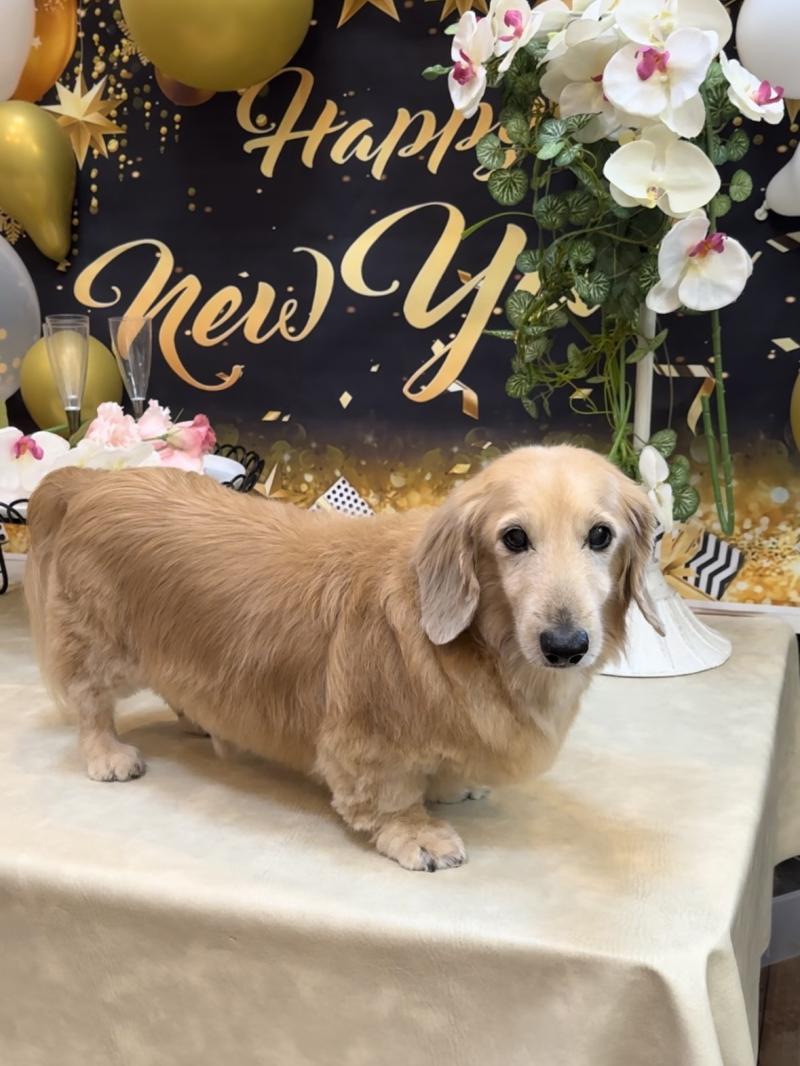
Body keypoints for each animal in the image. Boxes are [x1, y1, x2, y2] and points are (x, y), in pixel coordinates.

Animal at [24, 445, 660, 871]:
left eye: (600, 536)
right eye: (514, 538)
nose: (565, 646)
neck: (482, 644)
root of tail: (87, 484)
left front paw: (452, 784)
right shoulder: (368, 740)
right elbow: (391, 796)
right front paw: (416, 834)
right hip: (99, 648)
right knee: (90, 704)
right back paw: (108, 754)